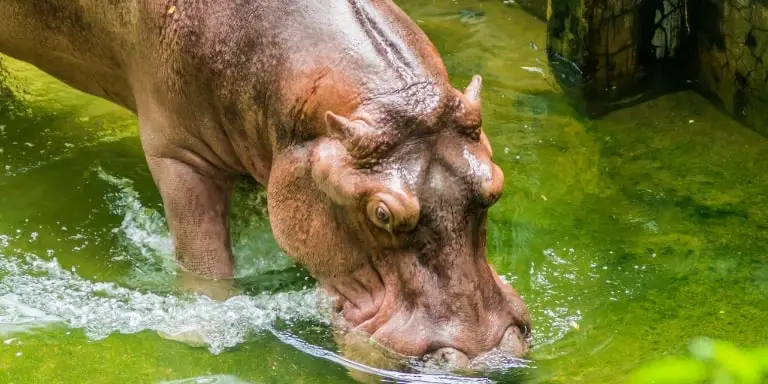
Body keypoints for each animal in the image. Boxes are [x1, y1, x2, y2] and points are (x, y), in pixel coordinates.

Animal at [0, 0, 528, 368]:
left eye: (496, 183)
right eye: (381, 212)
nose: (488, 354)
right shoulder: (178, 155)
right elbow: (206, 262)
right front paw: (203, 334)